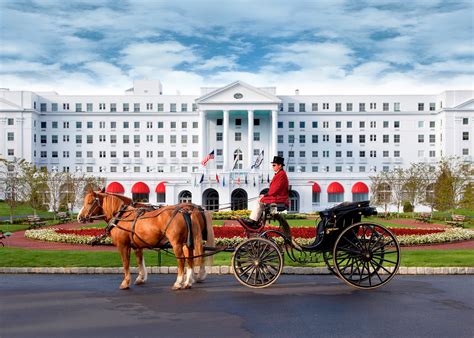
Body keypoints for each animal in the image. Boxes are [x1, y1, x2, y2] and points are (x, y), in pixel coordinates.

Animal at [77, 191, 214, 290]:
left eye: (89, 202)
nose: (80, 217)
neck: (121, 216)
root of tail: (186, 210)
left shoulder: (123, 246)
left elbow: (126, 263)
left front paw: (126, 282)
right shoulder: (137, 245)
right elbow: (139, 260)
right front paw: (141, 278)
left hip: (177, 244)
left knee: (182, 260)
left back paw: (179, 282)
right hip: (187, 243)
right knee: (190, 259)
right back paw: (188, 282)